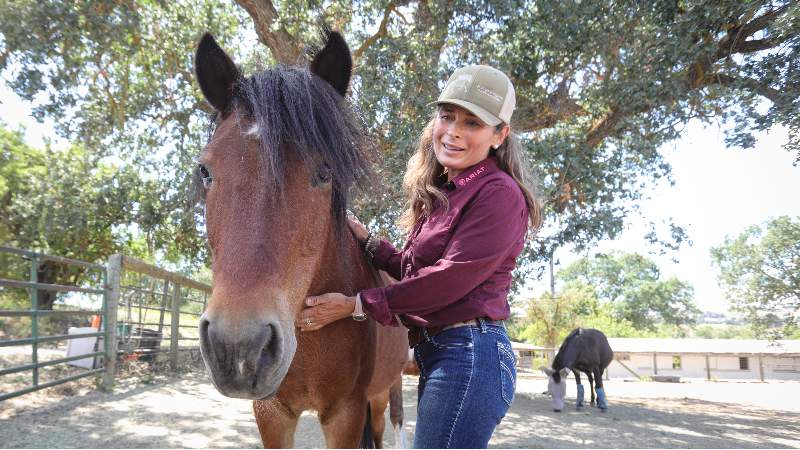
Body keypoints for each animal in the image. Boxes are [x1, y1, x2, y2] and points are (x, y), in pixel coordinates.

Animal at [192, 30, 411, 448]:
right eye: (205, 171)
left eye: (325, 172)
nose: (237, 348)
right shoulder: (272, 413)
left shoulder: (346, 414)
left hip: (383, 392)